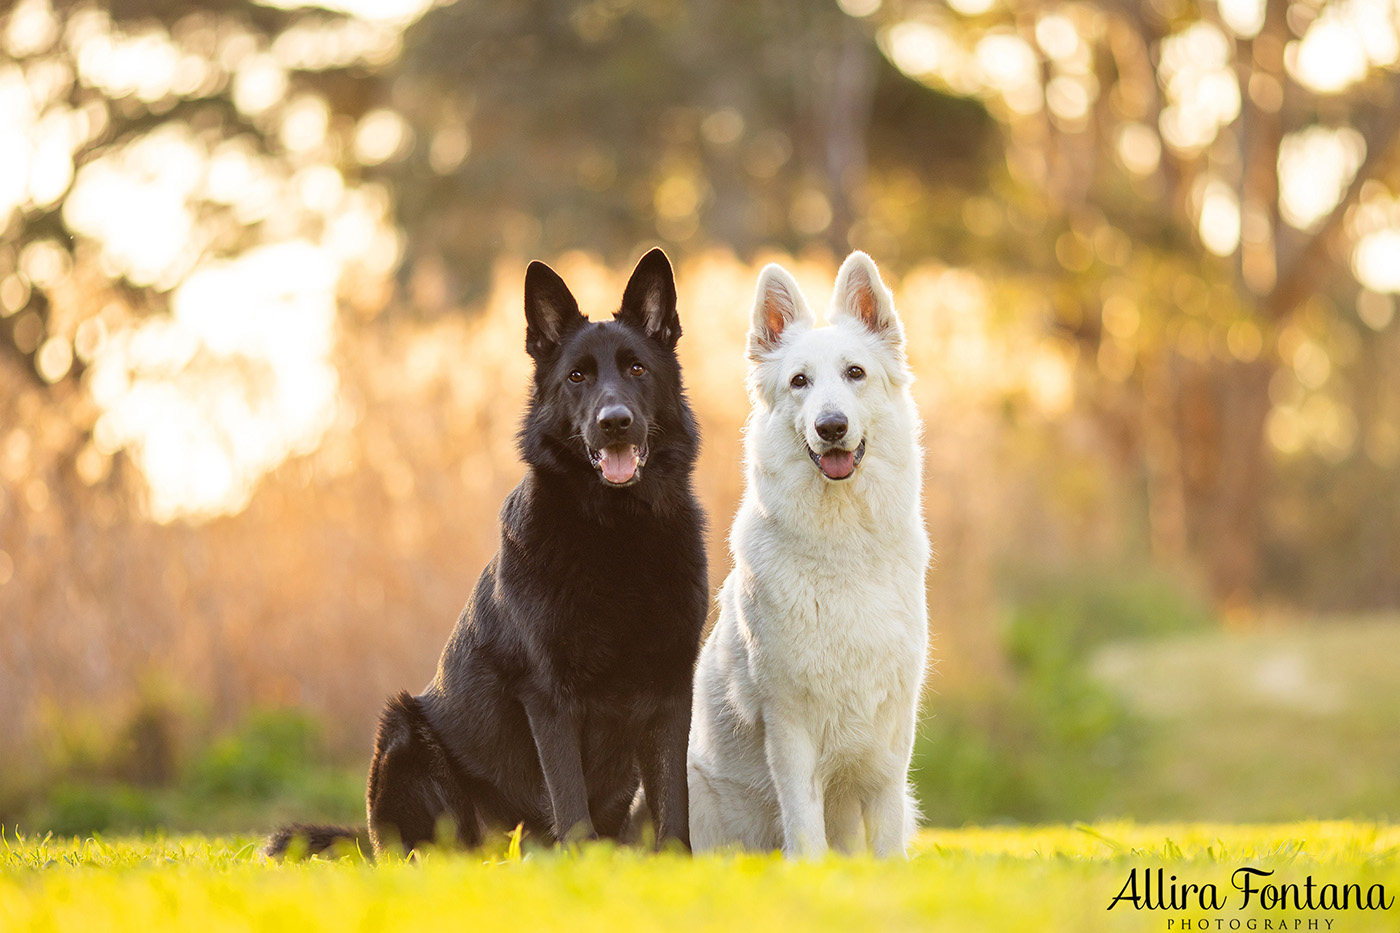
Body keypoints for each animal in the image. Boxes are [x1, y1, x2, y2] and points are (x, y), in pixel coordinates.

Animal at [270, 249, 711, 857]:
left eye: (637, 369)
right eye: (577, 377)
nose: (614, 422)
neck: (616, 533)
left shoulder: (671, 688)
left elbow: (674, 802)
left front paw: (673, 862)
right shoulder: (550, 696)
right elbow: (569, 795)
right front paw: (582, 862)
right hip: (403, 729)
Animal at [688, 249, 929, 857]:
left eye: (855, 373)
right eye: (800, 382)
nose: (831, 426)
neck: (842, 549)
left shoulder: (893, 731)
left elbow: (886, 832)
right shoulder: (789, 724)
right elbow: (803, 824)